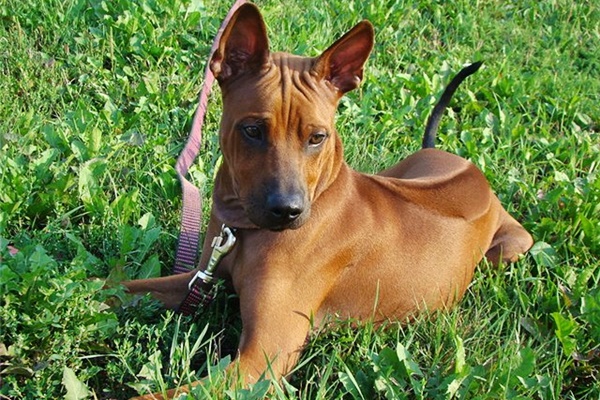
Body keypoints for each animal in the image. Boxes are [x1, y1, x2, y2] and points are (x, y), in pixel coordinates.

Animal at [123, 2, 536, 396]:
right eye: (252, 130)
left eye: (318, 137)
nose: (287, 211)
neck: (243, 228)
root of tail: (466, 164)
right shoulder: (201, 276)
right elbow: (120, 288)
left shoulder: (260, 362)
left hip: (513, 244)